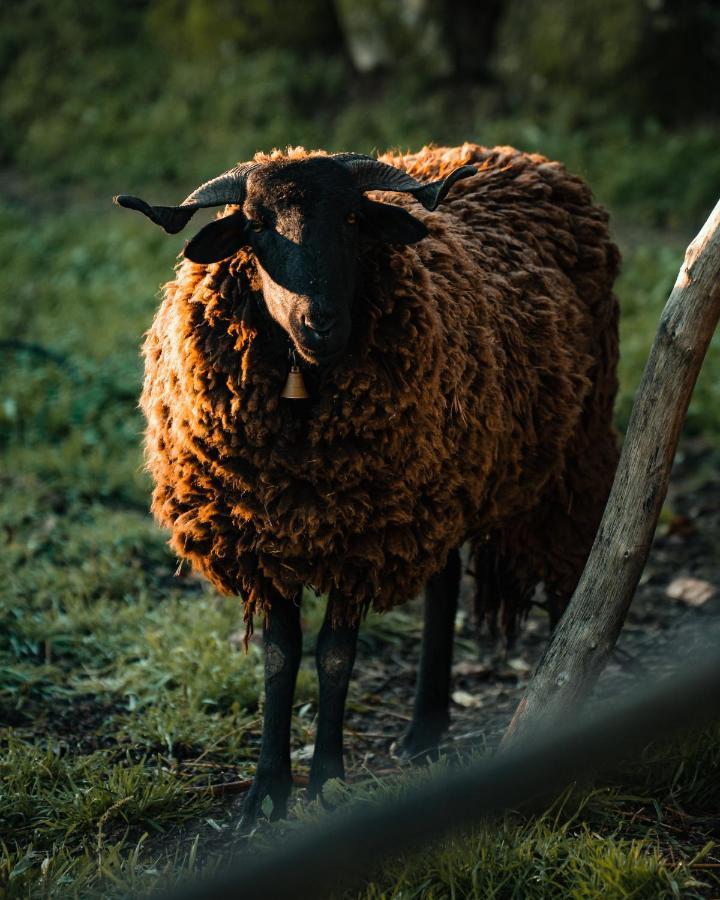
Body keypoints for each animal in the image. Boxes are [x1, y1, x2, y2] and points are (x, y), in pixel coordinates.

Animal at [114, 144, 620, 828]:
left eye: (354, 219)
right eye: (254, 225)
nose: (319, 321)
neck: (305, 388)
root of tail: (522, 157)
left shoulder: (363, 541)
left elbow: (334, 656)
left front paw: (326, 783)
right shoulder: (262, 537)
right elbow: (280, 658)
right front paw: (265, 792)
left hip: (565, 459)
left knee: (573, 575)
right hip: (441, 483)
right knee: (443, 585)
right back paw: (424, 729)